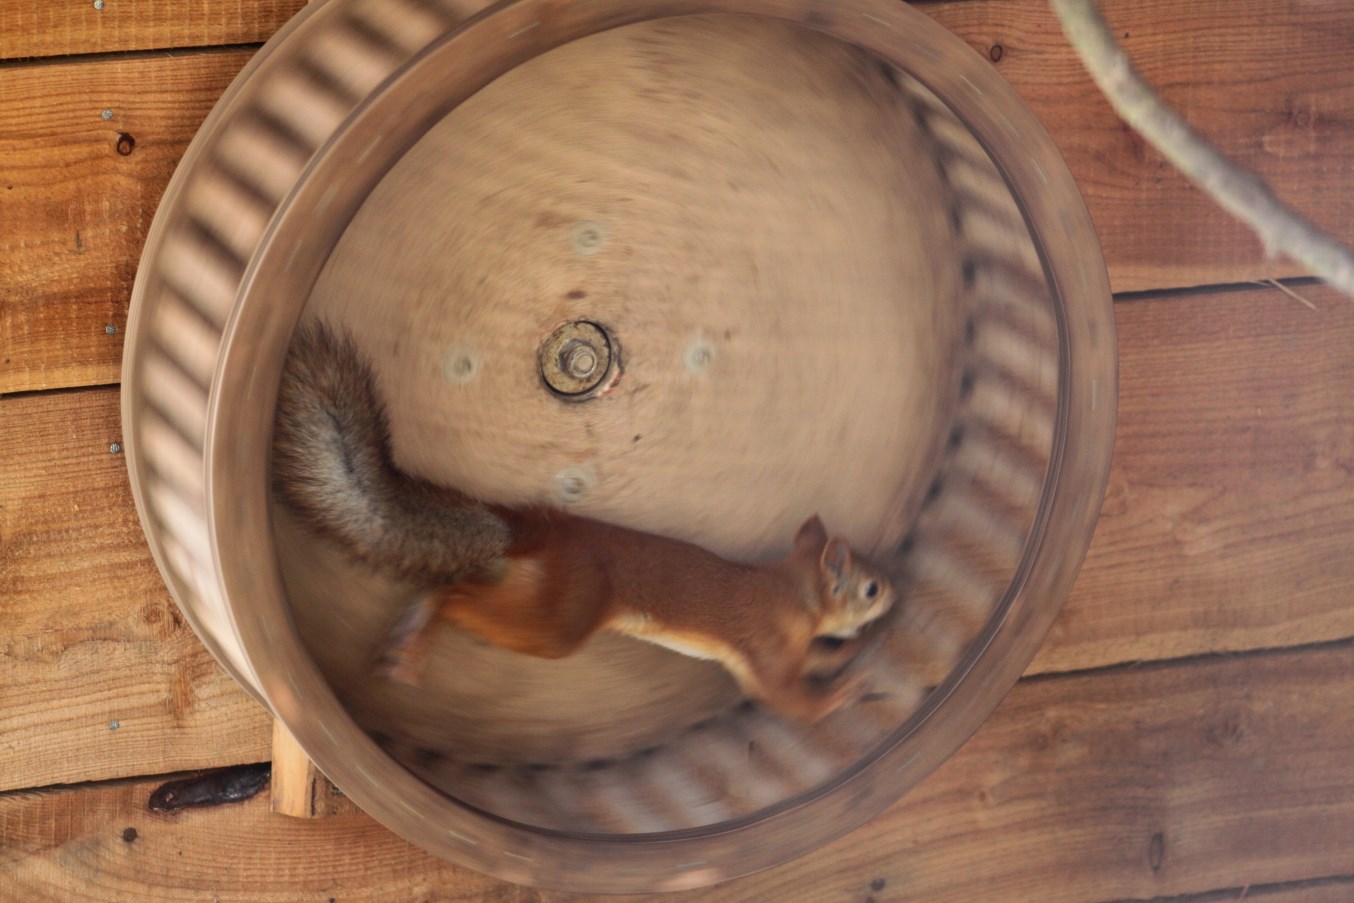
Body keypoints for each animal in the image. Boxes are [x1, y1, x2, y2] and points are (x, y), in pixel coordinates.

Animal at [272, 322, 897, 722]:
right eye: (869, 587)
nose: (897, 593)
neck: (793, 595)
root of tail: (542, 530)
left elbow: (816, 658)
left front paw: (847, 653)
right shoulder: (766, 647)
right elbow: (789, 702)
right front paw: (847, 691)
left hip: (532, 594)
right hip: (562, 620)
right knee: (455, 597)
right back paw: (419, 636)